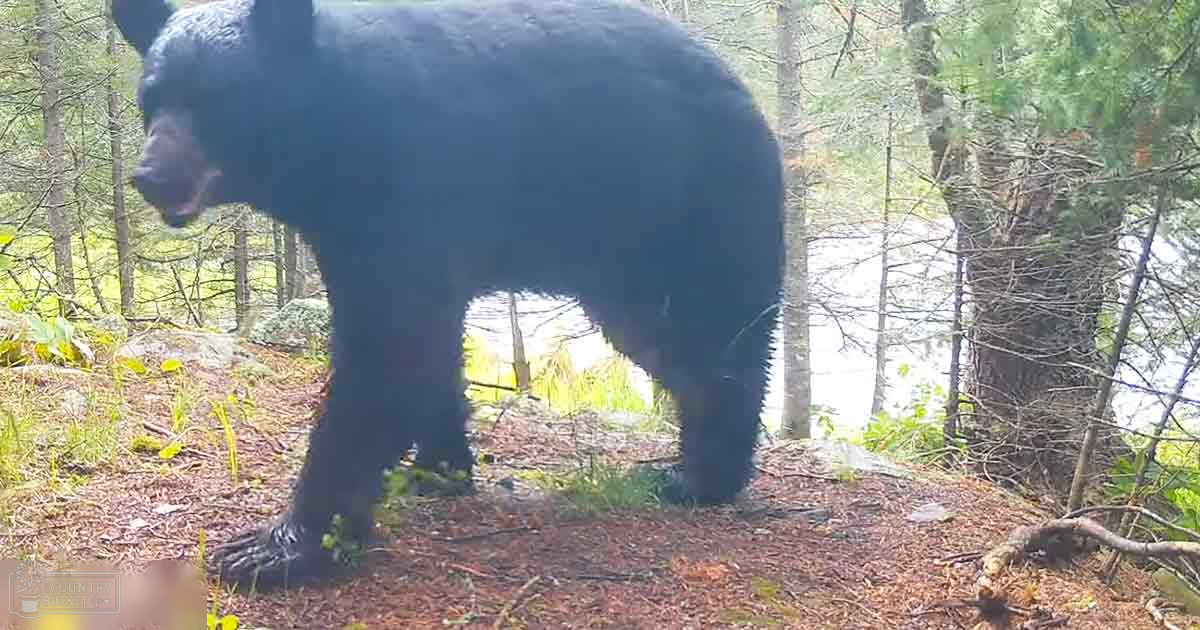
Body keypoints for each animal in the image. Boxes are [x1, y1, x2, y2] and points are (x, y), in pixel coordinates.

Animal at [114, 0, 783, 588]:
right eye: (151, 98)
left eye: (219, 97)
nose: (152, 176)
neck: (336, 140)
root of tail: (748, 96)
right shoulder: (354, 228)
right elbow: (424, 344)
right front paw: (440, 471)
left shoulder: (416, 177)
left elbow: (387, 348)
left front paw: (282, 547)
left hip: (691, 208)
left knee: (712, 338)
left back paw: (700, 477)